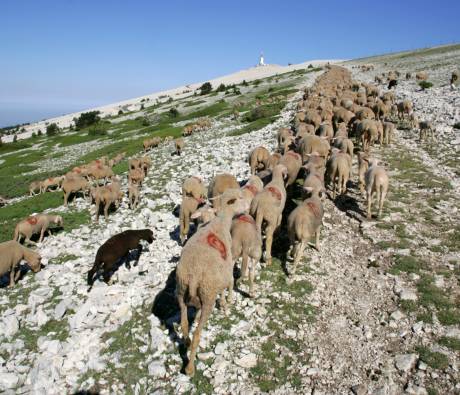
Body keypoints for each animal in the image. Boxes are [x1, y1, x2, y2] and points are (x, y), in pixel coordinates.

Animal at [176, 189, 248, 378]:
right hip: (207, 295)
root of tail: (194, 273)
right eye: (240, 198)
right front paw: (227, 302)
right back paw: (190, 368)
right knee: (197, 334)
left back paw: (185, 342)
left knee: (184, 324)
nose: (248, 206)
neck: (220, 221)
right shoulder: (226, 269)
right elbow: (229, 284)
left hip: (181, 292)